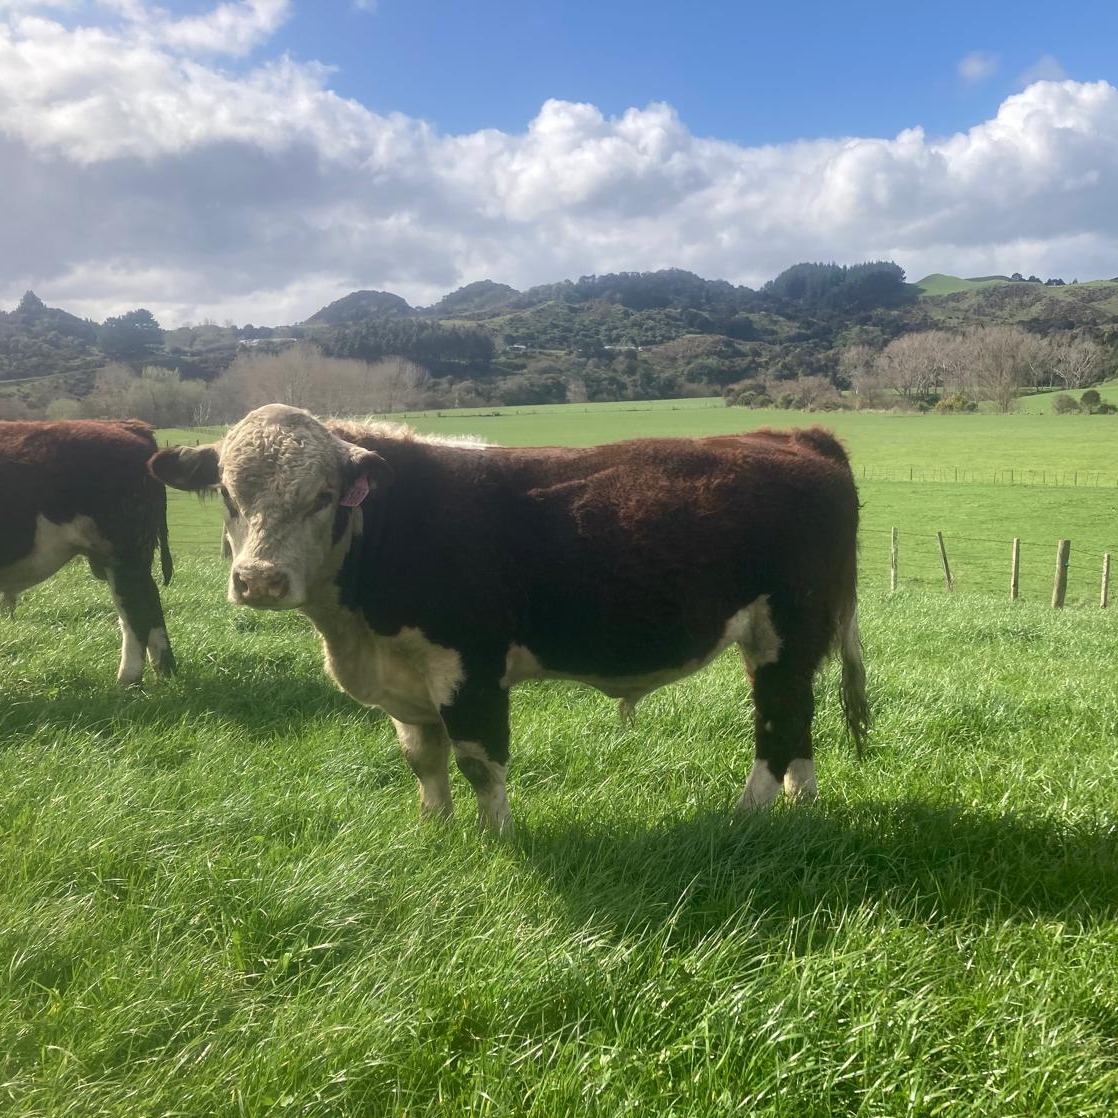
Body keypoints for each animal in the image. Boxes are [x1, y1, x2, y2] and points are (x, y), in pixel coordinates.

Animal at [0, 419, 176, 685]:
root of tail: (126, 425)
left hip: (123, 554)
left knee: (135, 610)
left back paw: (127, 680)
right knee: (151, 601)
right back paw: (164, 670)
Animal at [149, 404, 867, 833]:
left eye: (324, 496)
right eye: (226, 494)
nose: (259, 580)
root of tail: (795, 438)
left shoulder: (469, 667)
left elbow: (477, 760)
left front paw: (498, 837)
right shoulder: (405, 682)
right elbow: (422, 757)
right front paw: (434, 830)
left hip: (789, 625)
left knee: (778, 721)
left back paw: (746, 816)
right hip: (777, 637)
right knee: (797, 717)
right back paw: (801, 806)